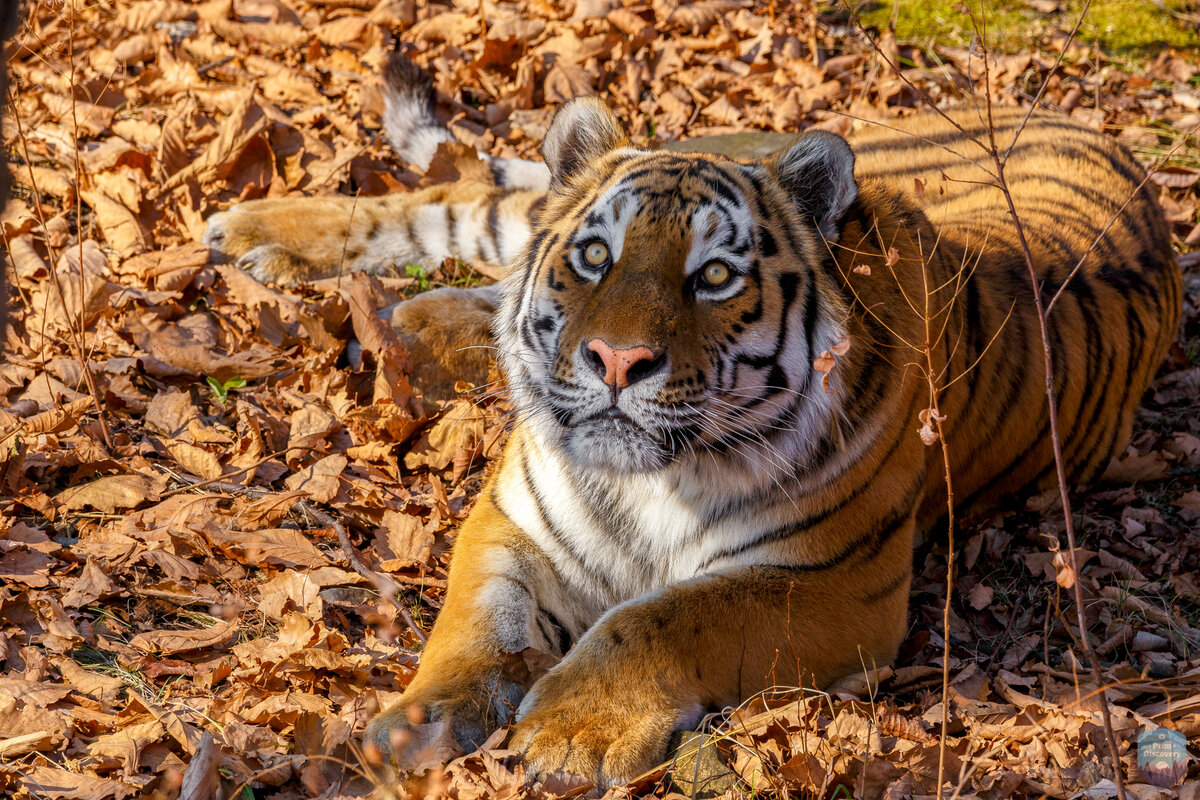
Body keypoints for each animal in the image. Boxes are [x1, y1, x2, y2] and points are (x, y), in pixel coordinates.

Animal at [204, 57, 1180, 786]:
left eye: (714, 277)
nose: (615, 361)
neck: (652, 484)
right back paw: (253, 231)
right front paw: (422, 721)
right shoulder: (513, 520)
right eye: (595, 257)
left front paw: (570, 731)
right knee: (455, 208)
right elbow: (481, 621)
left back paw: (409, 322)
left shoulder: (830, 583)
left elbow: (661, 619)